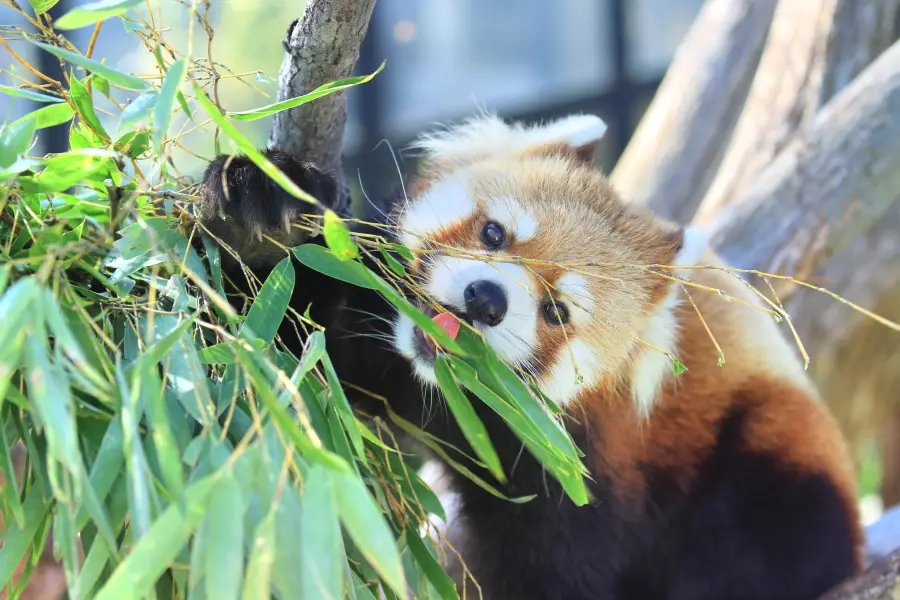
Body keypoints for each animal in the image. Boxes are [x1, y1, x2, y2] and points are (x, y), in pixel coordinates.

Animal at [199, 113, 864, 600]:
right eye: (494, 234)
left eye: (557, 311)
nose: (486, 299)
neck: (450, 395)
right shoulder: (375, 341)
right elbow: (271, 341)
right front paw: (262, 211)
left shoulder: (582, 468)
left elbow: (552, 567)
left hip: (767, 456)